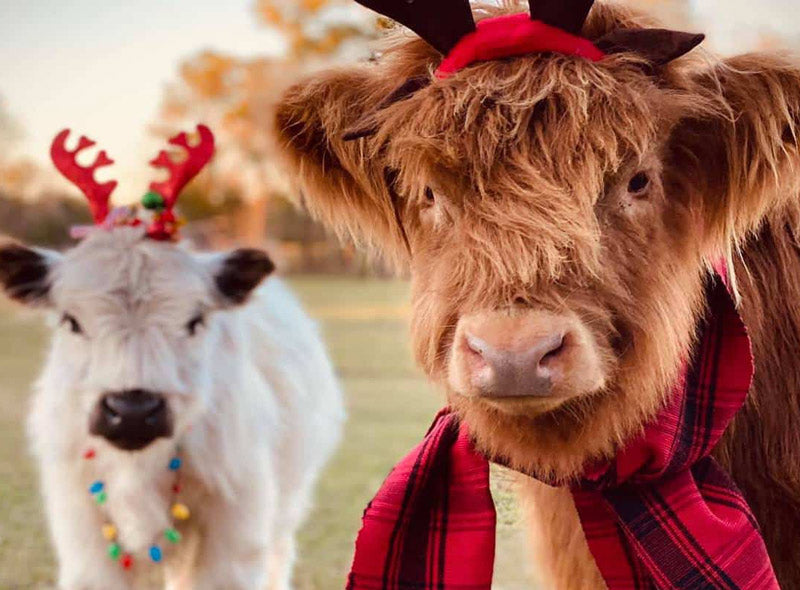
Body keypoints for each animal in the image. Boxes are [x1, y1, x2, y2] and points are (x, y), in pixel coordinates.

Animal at [0, 228, 340, 590]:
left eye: (195, 321)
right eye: (71, 321)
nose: (132, 412)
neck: (138, 466)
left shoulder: (237, 524)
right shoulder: (80, 521)